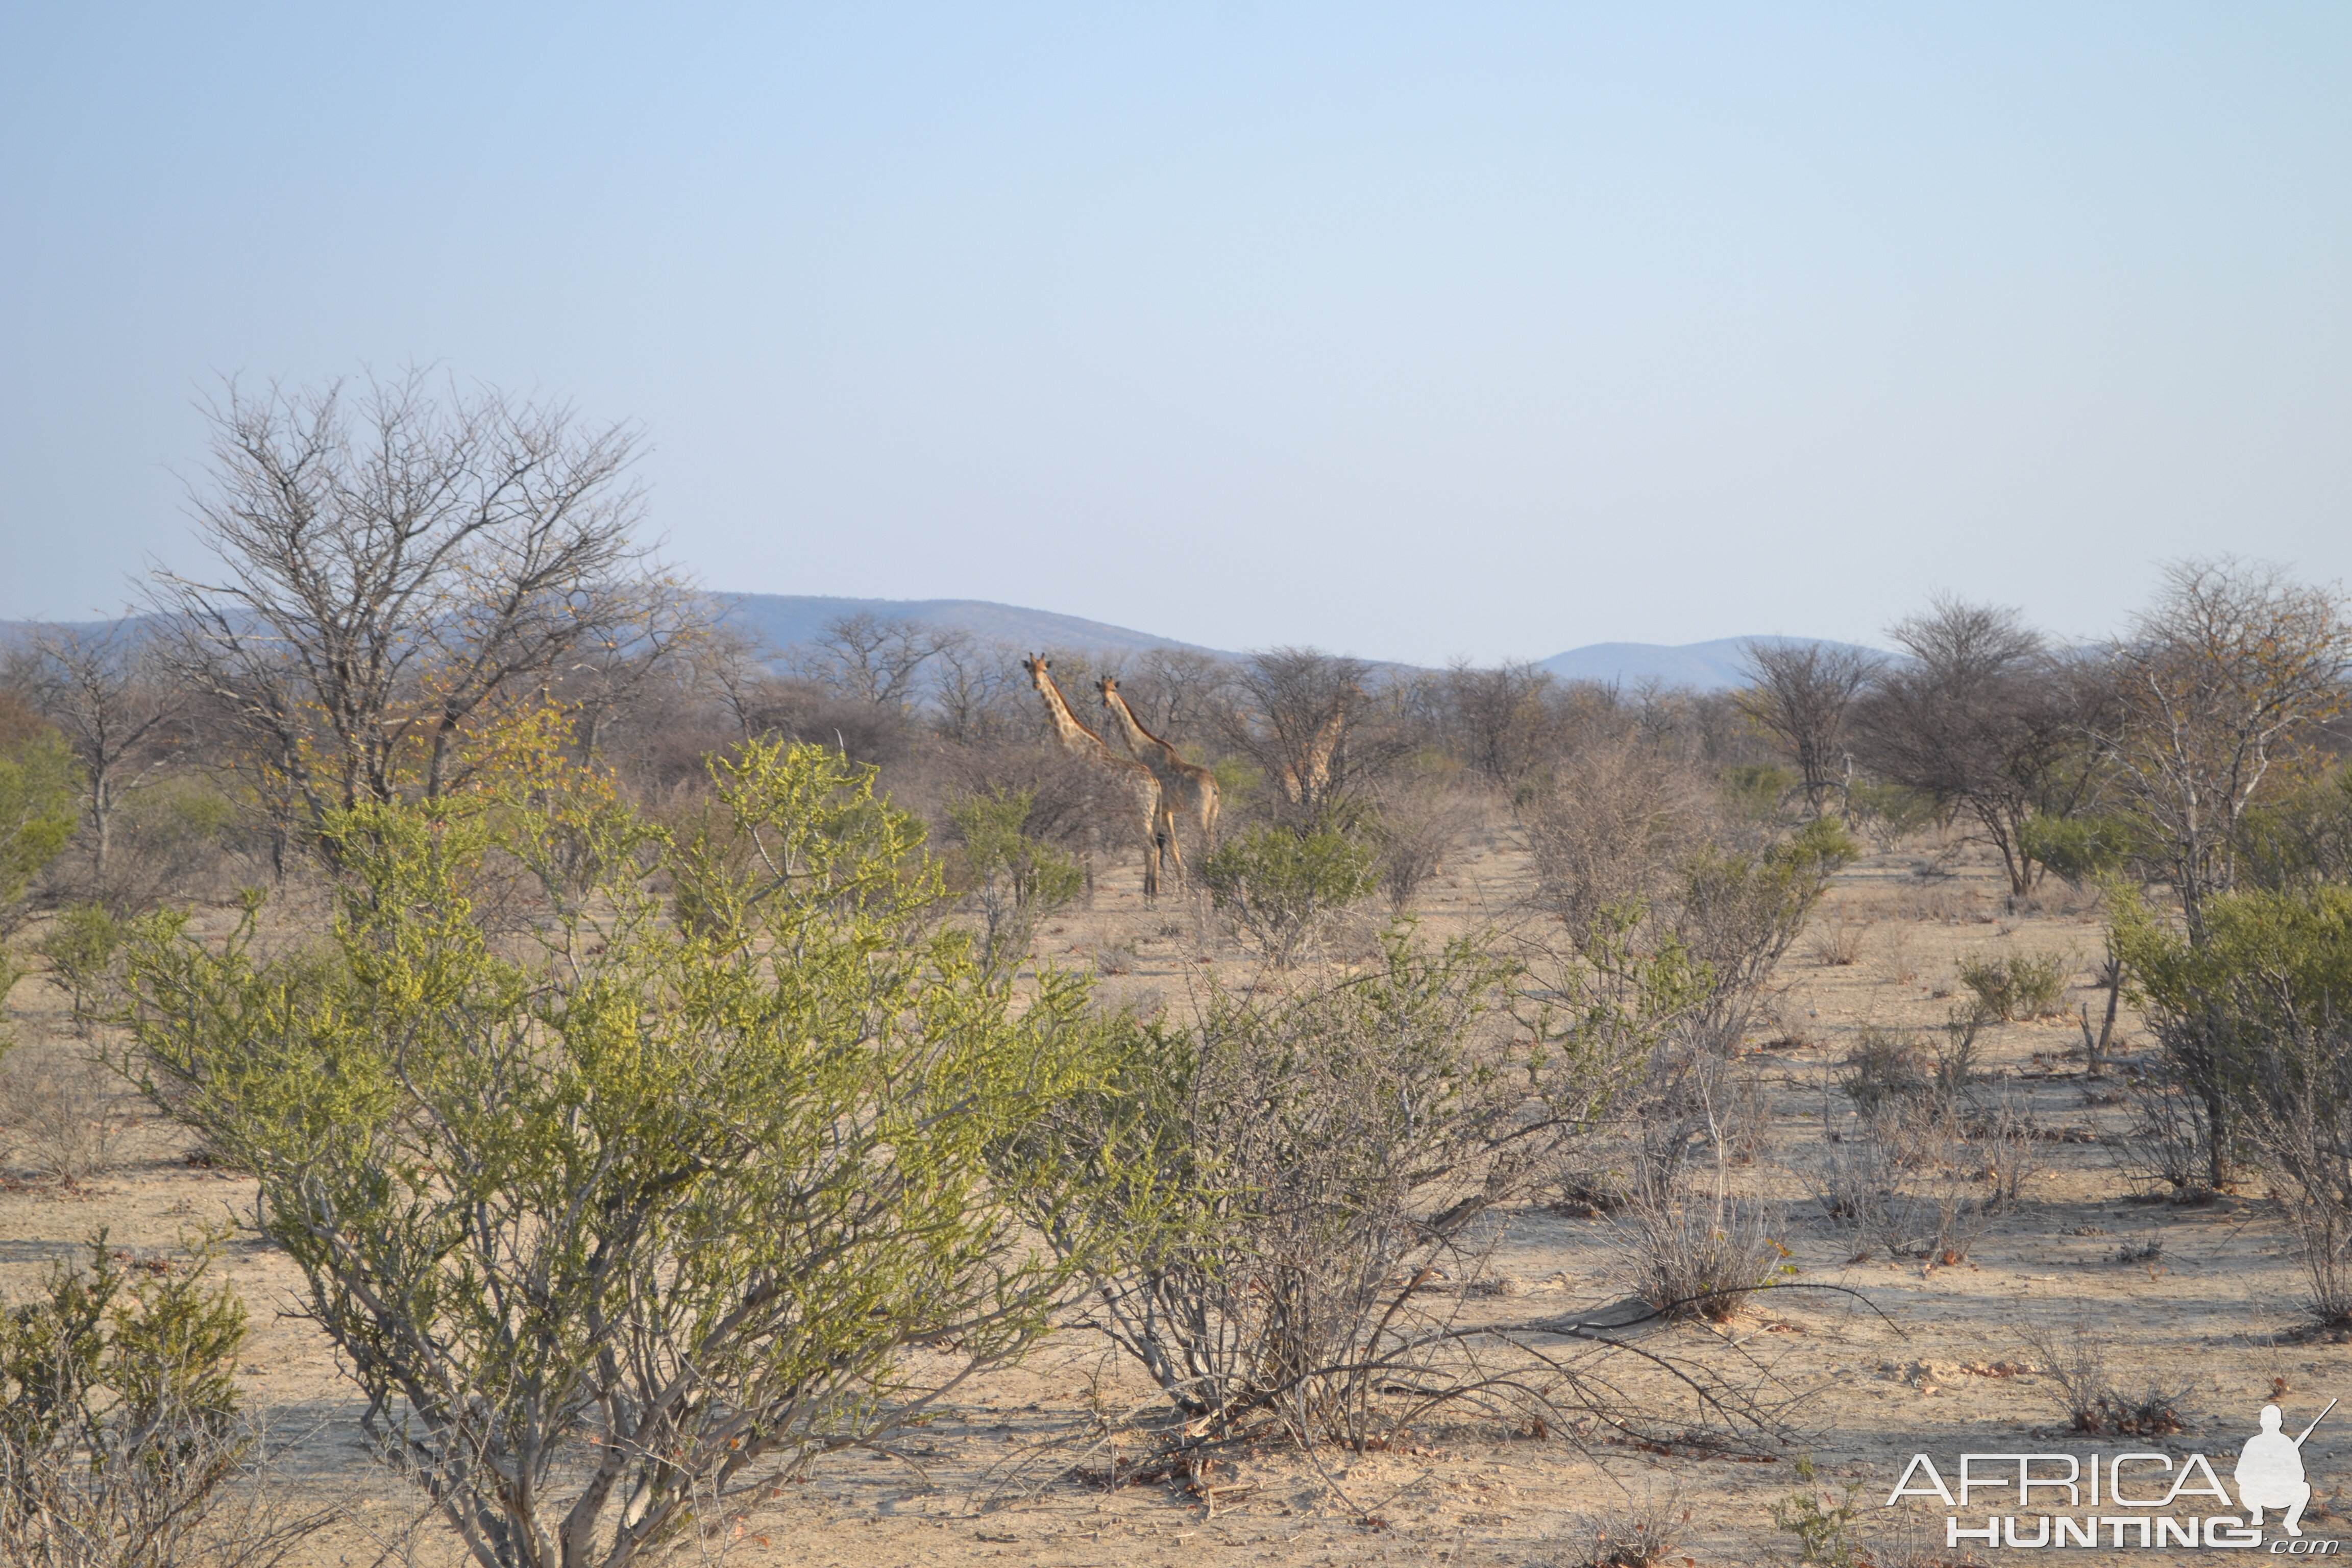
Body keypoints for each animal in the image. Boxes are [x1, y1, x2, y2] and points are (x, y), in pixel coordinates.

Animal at [1020, 658, 1166, 902]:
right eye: (1030, 669)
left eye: (1045, 669)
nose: (1036, 684)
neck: (1074, 747)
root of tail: (1156, 784)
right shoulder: (1078, 804)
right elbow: (1082, 844)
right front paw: (1082, 890)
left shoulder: (1085, 802)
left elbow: (1085, 845)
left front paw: (1086, 894)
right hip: (1142, 813)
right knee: (1152, 847)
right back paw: (1150, 893)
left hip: (1142, 812)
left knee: (1152, 847)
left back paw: (1151, 898)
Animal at [1091, 668, 1223, 884]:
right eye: (1101, 689)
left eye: (1113, 689)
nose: (1106, 703)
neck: (1144, 750)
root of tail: (1213, 786)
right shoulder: (1167, 810)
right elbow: (1173, 846)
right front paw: (1180, 884)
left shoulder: (1159, 809)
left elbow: (1161, 846)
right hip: (1214, 811)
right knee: (1211, 839)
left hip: (1198, 812)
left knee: (1206, 840)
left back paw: (1207, 876)